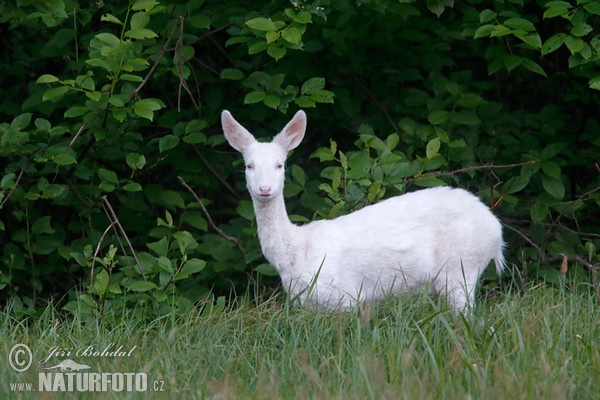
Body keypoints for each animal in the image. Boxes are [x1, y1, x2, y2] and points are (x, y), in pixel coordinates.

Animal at [223, 110, 504, 312]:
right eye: (249, 165)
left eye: (280, 164)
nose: (265, 188)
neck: (296, 254)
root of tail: (496, 231)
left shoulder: (345, 298)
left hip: (461, 266)